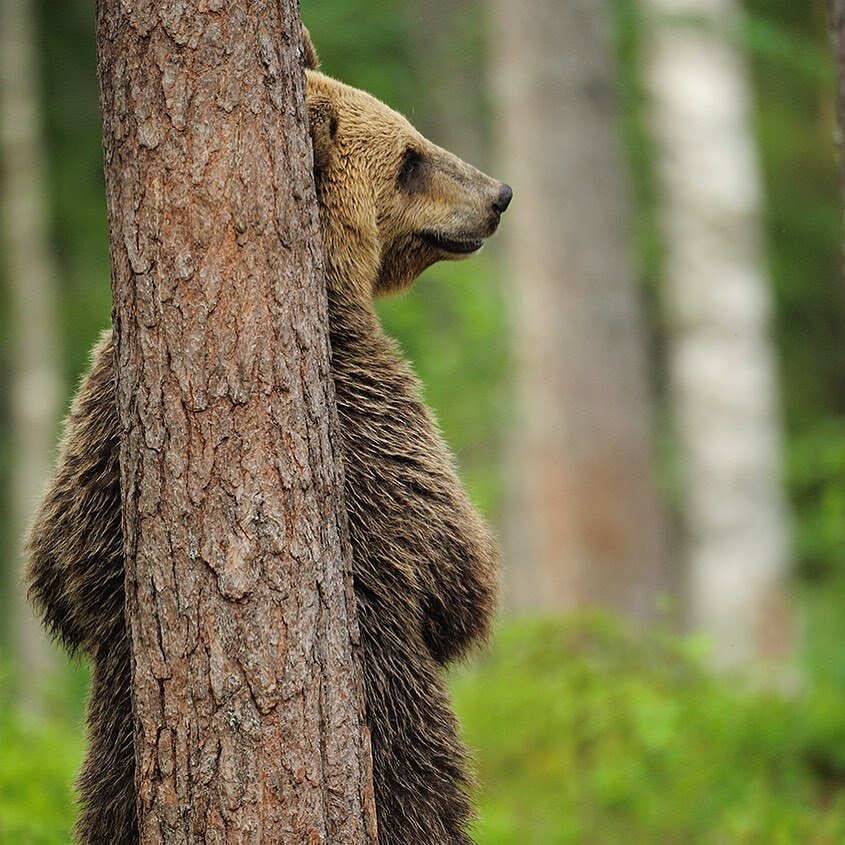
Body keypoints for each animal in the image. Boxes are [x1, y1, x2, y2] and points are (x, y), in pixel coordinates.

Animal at [26, 24, 508, 844]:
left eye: (416, 136)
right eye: (410, 159)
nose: (498, 195)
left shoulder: (93, 418)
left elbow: (56, 566)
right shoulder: (379, 414)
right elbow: (454, 572)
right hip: (411, 757)